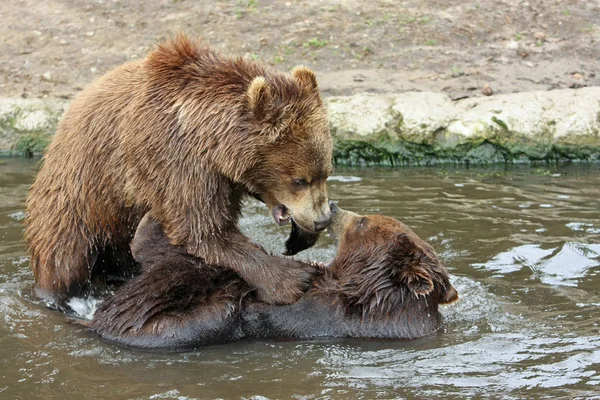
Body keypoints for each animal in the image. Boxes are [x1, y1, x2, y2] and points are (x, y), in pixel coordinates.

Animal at [24, 34, 332, 310]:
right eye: (298, 180)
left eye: (325, 173)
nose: (322, 220)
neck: (210, 141)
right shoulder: (176, 159)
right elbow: (202, 230)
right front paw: (292, 278)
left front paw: (300, 237)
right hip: (79, 199)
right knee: (66, 259)